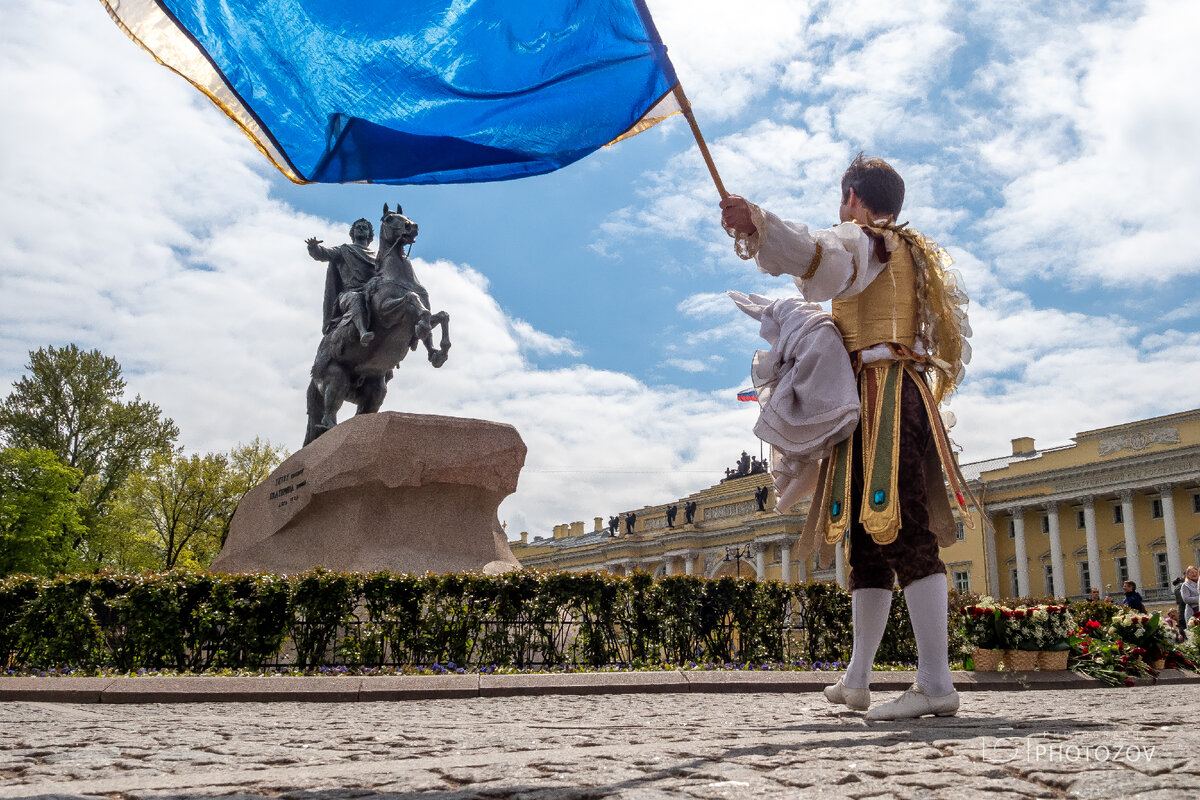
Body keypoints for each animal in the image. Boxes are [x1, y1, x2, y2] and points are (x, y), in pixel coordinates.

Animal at [302, 203, 451, 448]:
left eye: (405, 216)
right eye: (390, 219)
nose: (412, 227)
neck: (398, 275)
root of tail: (314, 375)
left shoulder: (419, 314)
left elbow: (439, 316)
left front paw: (438, 353)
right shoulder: (388, 313)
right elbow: (412, 301)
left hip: (375, 390)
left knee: (360, 412)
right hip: (336, 378)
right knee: (327, 415)